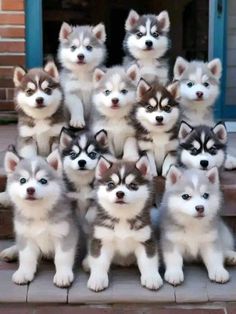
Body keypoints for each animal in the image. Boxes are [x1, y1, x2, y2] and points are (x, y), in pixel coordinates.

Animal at [2, 150, 77, 288]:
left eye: (43, 181)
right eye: (22, 180)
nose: (30, 189)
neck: (37, 212)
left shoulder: (65, 234)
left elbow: (62, 257)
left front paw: (63, 275)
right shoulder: (25, 235)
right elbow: (26, 257)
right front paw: (24, 273)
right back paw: (11, 252)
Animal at [84, 157, 163, 292]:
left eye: (133, 185)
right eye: (111, 184)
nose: (120, 193)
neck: (122, 217)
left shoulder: (146, 240)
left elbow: (148, 261)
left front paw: (152, 277)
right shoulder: (101, 239)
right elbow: (99, 262)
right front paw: (97, 279)